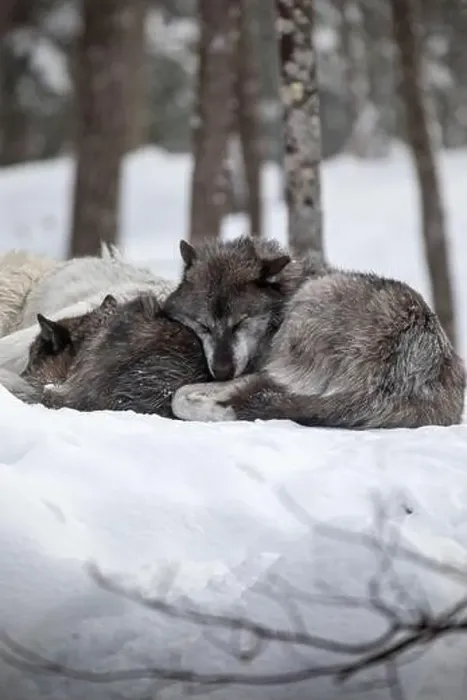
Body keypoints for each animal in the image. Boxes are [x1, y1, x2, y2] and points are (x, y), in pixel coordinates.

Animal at [166, 237, 465, 429]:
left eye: (241, 322)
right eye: (204, 325)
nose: (222, 371)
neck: (285, 295)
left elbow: (181, 395)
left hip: (310, 304)